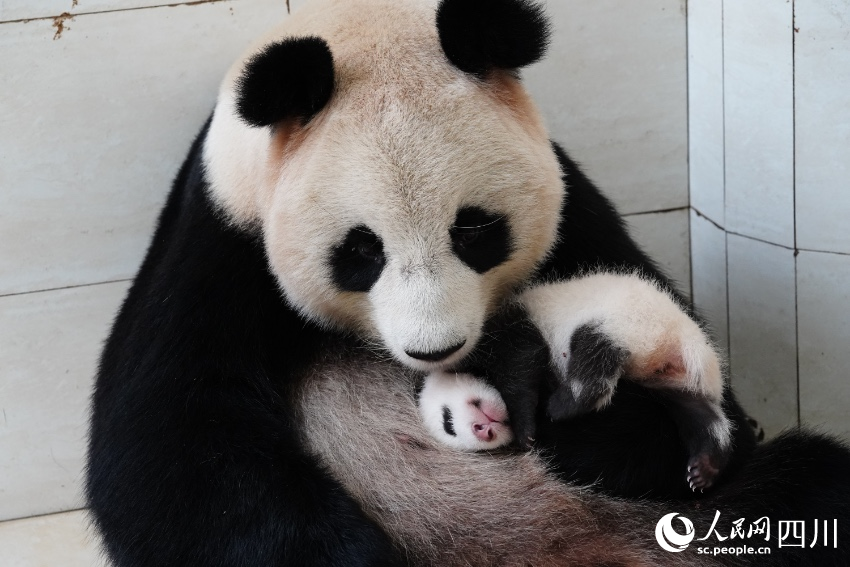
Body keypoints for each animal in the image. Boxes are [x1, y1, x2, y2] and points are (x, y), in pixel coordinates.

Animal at [88, 1, 848, 567]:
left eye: (475, 229)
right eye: (360, 251)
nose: (435, 350)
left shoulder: (577, 218)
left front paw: (572, 433)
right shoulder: (223, 244)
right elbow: (177, 455)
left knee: (805, 483)